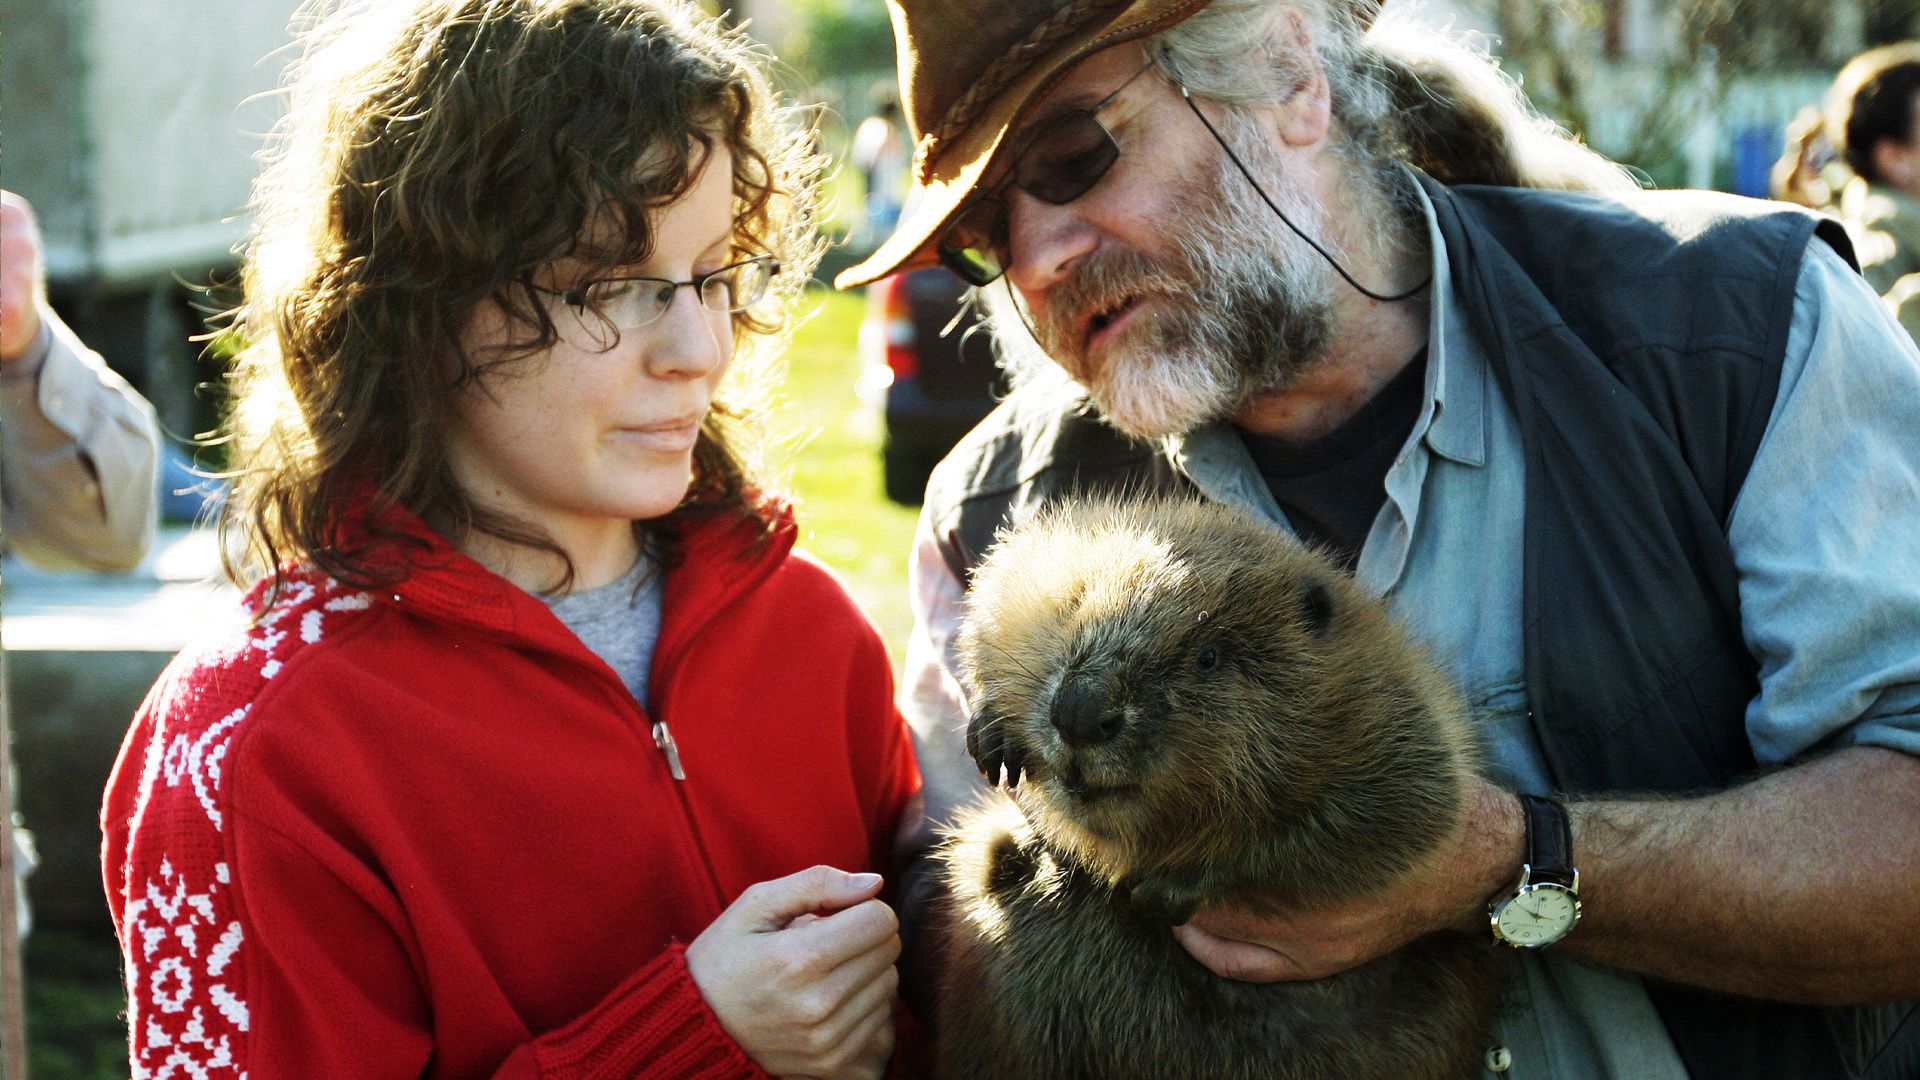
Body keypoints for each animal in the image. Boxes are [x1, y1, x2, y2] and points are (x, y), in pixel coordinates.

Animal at [936, 495, 1505, 1076]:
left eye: (1208, 656)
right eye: (1076, 604)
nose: (1080, 712)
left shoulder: (1402, 724)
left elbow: (1400, 817)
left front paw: (1166, 890)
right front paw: (991, 735)